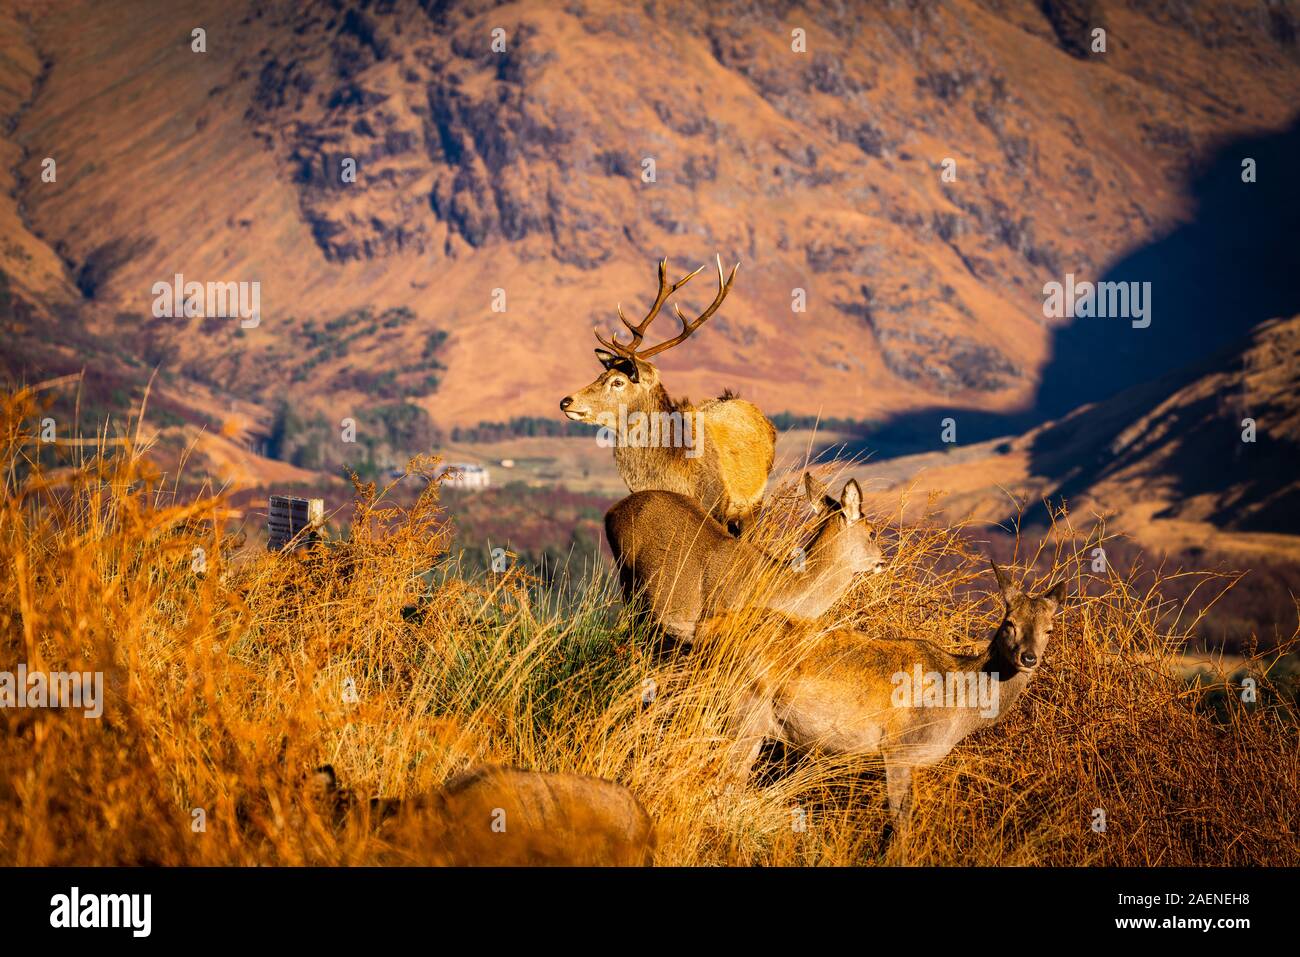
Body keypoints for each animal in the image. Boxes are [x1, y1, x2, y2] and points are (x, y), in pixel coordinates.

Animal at [716, 560, 1066, 839]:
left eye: (1050, 629)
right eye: (1009, 623)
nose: (1029, 657)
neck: (957, 708)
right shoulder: (899, 749)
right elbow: (901, 820)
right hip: (746, 709)